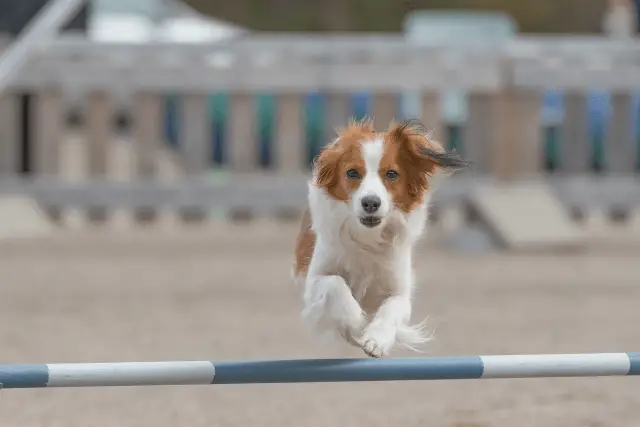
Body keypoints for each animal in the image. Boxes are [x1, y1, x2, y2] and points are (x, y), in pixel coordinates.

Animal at [292, 117, 468, 358]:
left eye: (392, 174)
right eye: (352, 173)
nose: (371, 203)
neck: (368, 238)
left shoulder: (400, 291)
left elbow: (392, 307)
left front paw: (376, 339)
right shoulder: (314, 283)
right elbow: (336, 284)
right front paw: (357, 322)